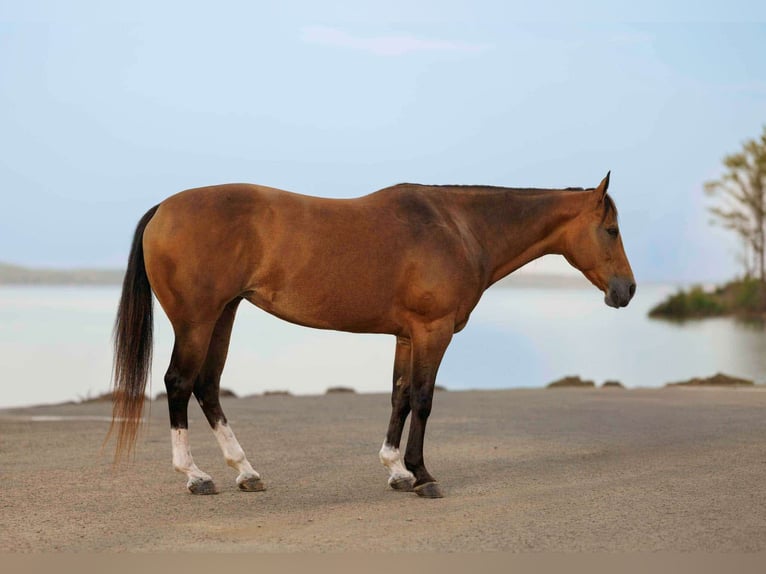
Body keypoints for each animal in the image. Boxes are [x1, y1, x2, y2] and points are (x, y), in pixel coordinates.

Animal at [108, 172, 635, 498]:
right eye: (611, 229)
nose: (626, 290)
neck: (458, 228)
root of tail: (164, 208)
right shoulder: (433, 331)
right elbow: (423, 398)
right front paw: (422, 475)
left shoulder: (407, 336)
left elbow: (400, 396)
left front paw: (395, 470)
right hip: (197, 319)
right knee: (179, 383)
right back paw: (195, 476)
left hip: (224, 315)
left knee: (207, 386)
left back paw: (246, 472)